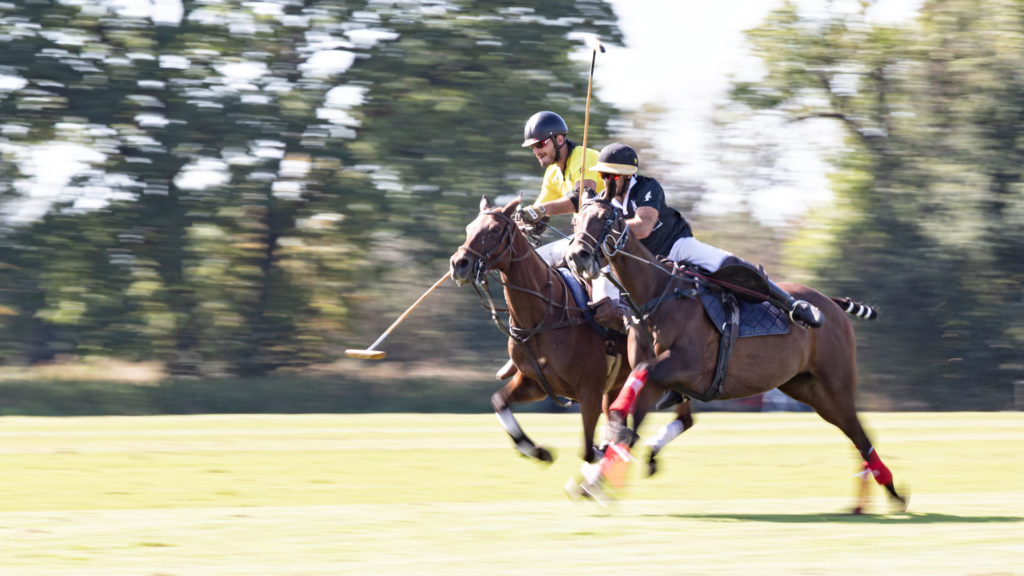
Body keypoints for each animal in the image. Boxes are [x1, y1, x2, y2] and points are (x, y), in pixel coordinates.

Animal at [452, 194, 643, 463]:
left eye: (495, 229)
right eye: (469, 228)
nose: (459, 264)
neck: (543, 317)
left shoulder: (590, 389)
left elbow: (588, 450)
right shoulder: (536, 383)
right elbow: (499, 401)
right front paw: (537, 450)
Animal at [565, 190, 909, 508]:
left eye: (604, 219)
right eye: (576, 220)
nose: (577, 256)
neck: (656, 295)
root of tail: (833, 305)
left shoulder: (685, 365)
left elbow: (638, 385)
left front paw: (608, 449)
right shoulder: (658, 378)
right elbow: (632, 414)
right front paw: (596, 478)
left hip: (836, 384)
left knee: (861, 434)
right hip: (807, 389)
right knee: (855, 434)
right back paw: (874, 496)